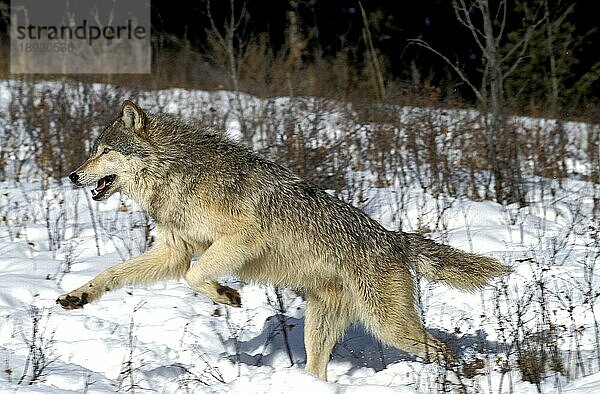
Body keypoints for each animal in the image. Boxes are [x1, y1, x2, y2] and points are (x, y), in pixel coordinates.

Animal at [57, 100, 510, 380]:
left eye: (104, 151)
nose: (73, 175)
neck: (177, 172)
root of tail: (394, 238)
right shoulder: (174, 251)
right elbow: (112, 274)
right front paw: (78, 296)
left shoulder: (239, 239)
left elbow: (196, 277)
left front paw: (226, 295)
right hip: (322, 329)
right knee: (318, 371)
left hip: (390, 328)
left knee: (442, 349)